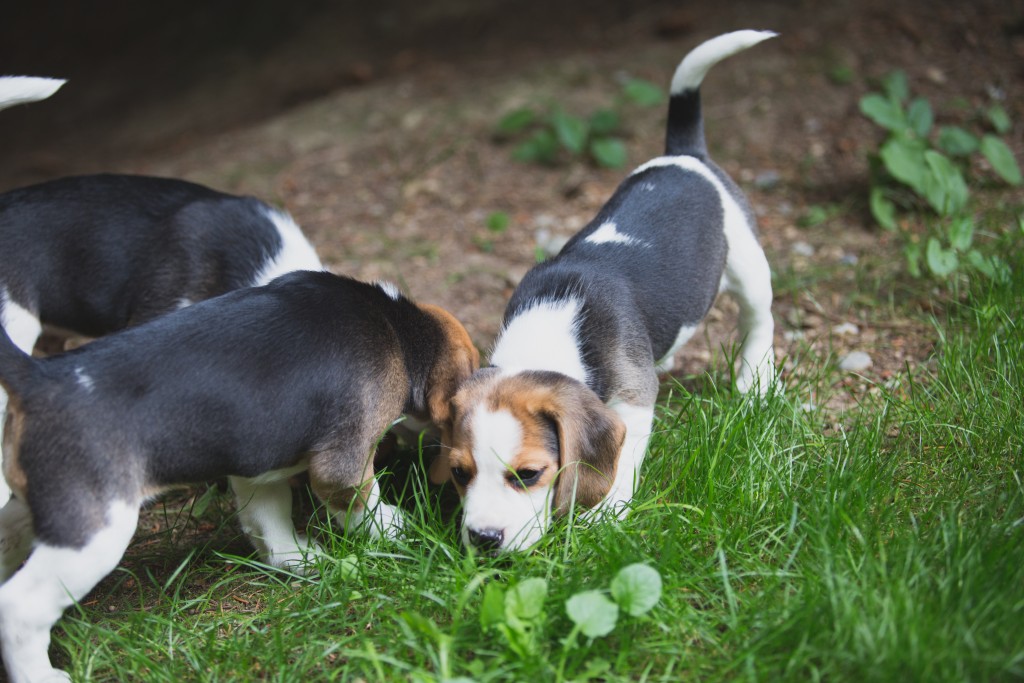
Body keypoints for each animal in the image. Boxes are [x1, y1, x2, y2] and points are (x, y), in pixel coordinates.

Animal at [0, 270, 479, 679]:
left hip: (34, 507)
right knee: (20, 608)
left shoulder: (258, 468)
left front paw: (299, 560)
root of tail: (39, 378)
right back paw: (40, 674)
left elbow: (269, 523)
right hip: (93, 534)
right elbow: (367, 507)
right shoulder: (343, 464)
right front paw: (400, 533)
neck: (395, 324)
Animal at [430, 33, 774, 557]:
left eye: (528, 474)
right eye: (459, 472)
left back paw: (754, 381)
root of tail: (685, 155)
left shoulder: (633, 403)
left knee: (760, 319)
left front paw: (604, 516)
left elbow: (622, 460)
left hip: (748, 264)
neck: (552, 326)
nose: (484, 539)